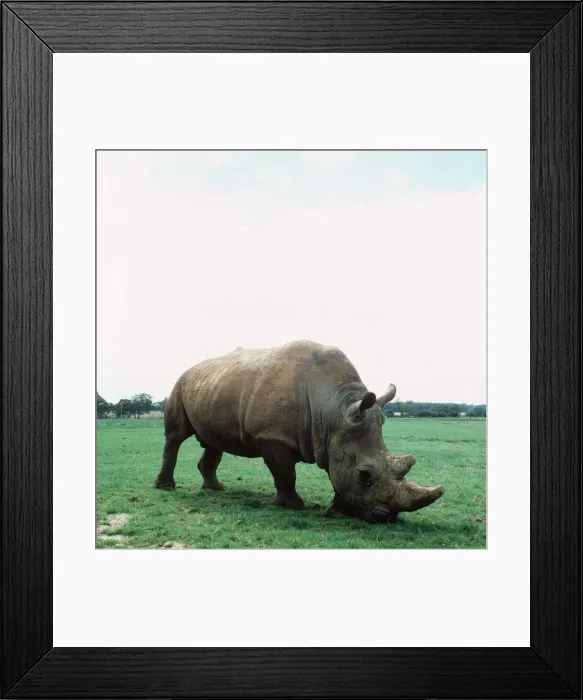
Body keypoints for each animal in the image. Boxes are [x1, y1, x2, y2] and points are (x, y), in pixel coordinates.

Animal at [155, 340, 444, 523]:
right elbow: (285, 474)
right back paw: (166, 488)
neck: (334, 411)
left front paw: (335, 510)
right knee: (175, 437)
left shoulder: (335, 437)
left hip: (212, 386)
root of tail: (191, 369)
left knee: (214, 442)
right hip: (179, 383)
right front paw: (294, 506)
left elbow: (331, 473)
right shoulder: (272, 436)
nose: (387, 518)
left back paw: (215, 489)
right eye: (363, 475)